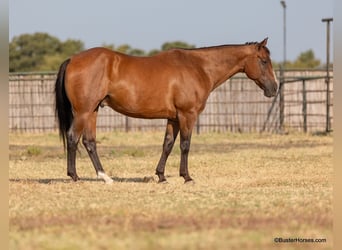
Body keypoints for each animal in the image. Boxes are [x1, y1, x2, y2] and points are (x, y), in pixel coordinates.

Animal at [54, 38, 276, 185]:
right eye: (263, 61)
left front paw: (161, 176)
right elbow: (185, 145)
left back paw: (105, 177)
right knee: (73, 138)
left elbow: (167, 145)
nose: (274, 88)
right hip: (83, 111)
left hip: (92, 111)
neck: (199, 67)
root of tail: (72, 59)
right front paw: (187, 177)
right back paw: (74, 176)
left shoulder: (174, 118)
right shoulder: (187, 115)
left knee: (89, 142)